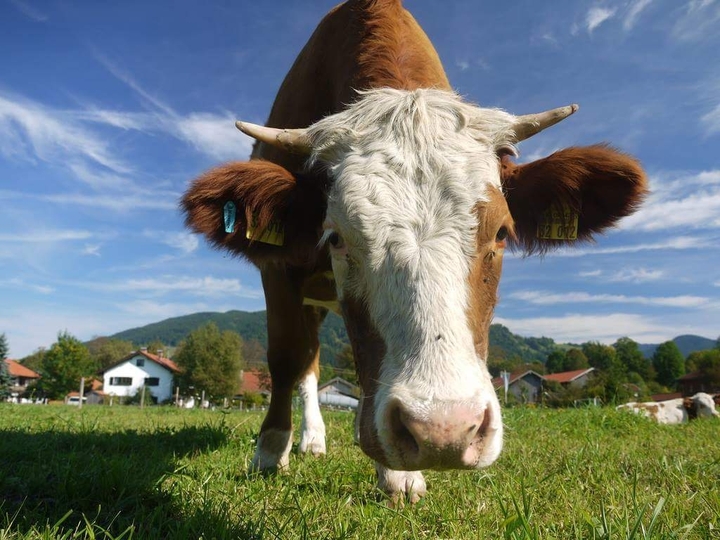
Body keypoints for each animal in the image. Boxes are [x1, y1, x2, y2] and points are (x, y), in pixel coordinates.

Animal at [181, 0, 648, 502]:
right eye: (335, 236)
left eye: (502, 232)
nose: (443, 431)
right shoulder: (277, 267)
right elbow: (286, 357)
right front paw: (269, 452)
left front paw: (397, 475)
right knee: (306, 360)